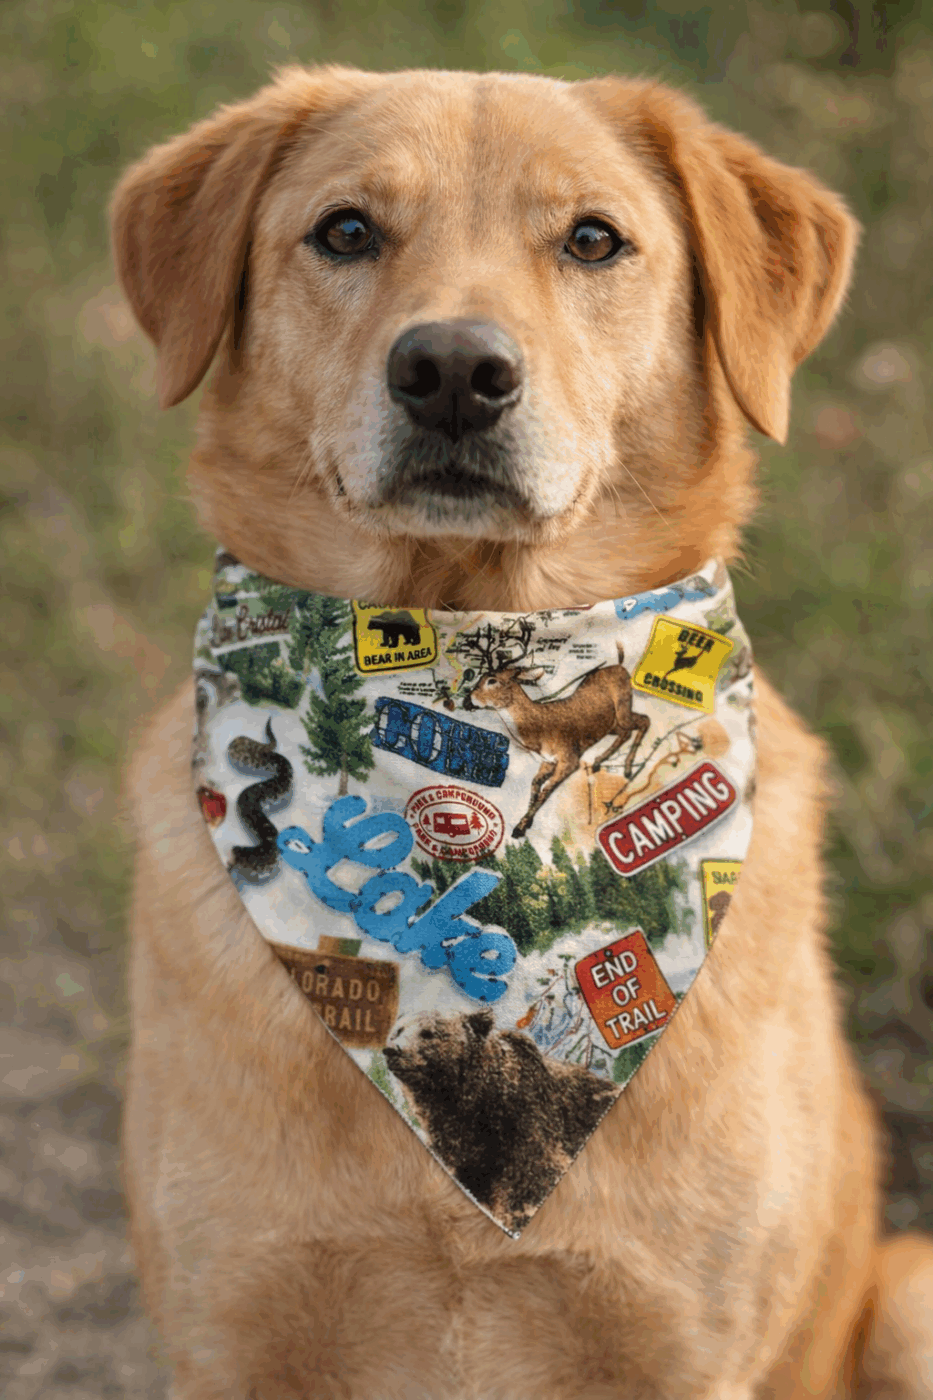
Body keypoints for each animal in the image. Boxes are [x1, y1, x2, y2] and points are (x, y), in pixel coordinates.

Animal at [463, 641, 650, 838]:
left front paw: (519, 828)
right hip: (612, 724)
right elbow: (535, 785)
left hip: (623, 707)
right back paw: (599, 762)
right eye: (480, 677)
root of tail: (620, 666)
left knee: (644, 721)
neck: (538, 730)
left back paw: (628, 769)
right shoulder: (548, 761)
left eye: (492, 680)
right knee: (627, 732)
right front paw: (527, 823)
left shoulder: (569, 758)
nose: (467, 700)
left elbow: (545, 790)